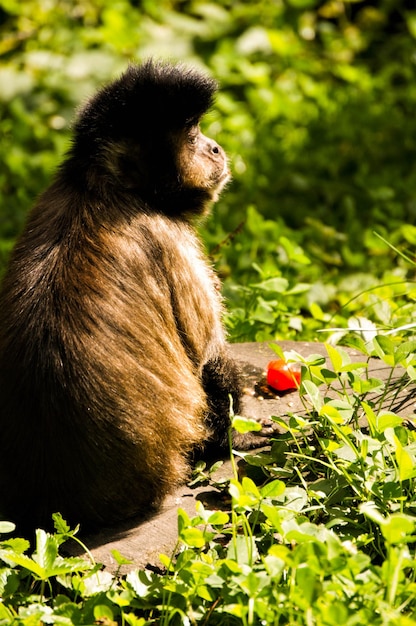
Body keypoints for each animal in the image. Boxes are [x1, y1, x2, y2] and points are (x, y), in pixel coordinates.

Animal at [0, 59, 264, 532]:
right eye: (192, 136)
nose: (215, 148)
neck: (100, 187)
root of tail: (54, 505)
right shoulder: (167, 235)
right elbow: (208, 360)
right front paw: (235, 440)